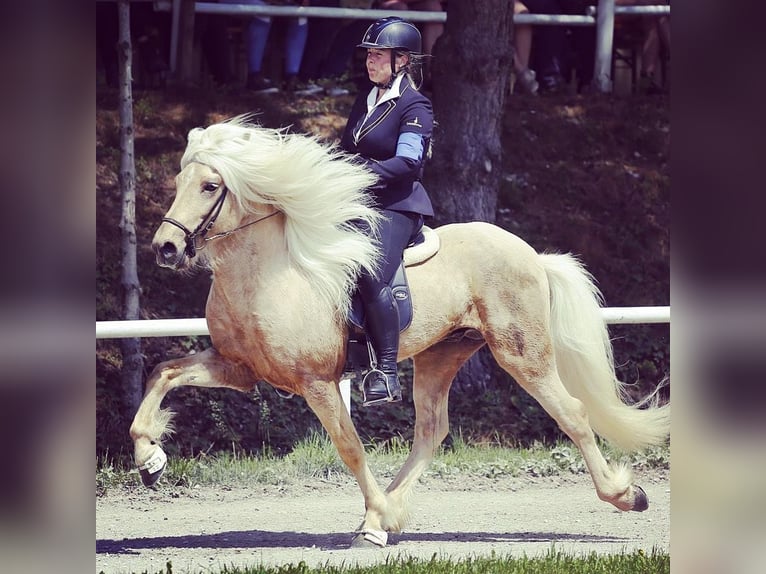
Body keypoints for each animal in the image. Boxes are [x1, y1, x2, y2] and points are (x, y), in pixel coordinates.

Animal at [130, 116, 672, 548]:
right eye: (179, 178)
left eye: (209, 186)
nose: (165, 248)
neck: (267, 274)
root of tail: (532, 255)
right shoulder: (238, 369)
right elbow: (163, 373)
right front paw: (149, 457)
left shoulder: (317, 383)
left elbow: (349, 447)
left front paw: (373, 516)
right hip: (441, 355)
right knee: (432, 430)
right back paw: (387, 515)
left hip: (521, 353)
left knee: (573, 415)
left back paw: (626, 495)